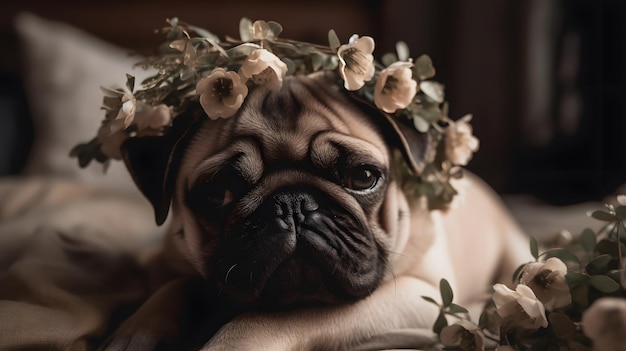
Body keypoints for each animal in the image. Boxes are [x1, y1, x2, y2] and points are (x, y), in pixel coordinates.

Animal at [103, 71, 532, 351]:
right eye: (218, 192)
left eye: (363, 176)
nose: (293, 203)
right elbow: (177, 285)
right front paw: (135, 330)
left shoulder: (418, 297)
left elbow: (265, 319)